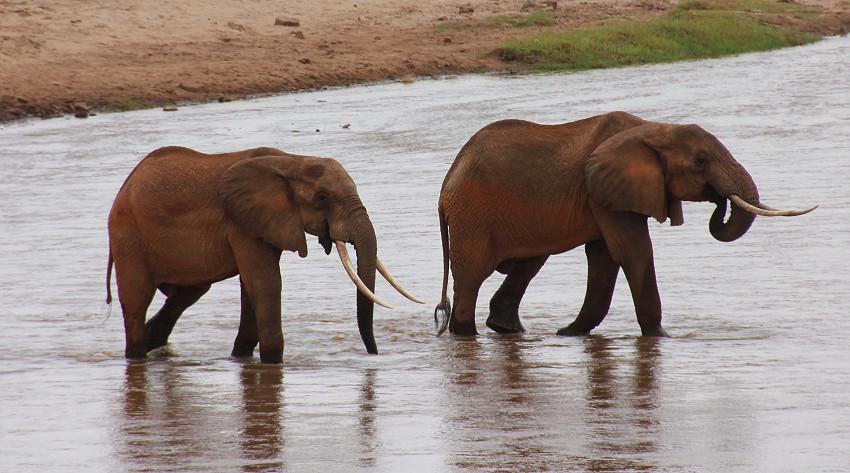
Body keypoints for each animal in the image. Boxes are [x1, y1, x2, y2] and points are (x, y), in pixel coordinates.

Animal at [106, 146, 420, 364]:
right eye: (322, 198)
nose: (373, 355)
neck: (291, 161)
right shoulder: (242, 222)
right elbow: (266, 283)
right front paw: (273, 362)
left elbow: (252, 288)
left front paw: (242, 359)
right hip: (128, 237)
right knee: (137, 299)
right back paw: (137, 354)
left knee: (189, 293)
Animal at [434, 112, 812, 338]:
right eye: (700, 162)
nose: (719, 201)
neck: (654, 127)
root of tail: (448, 180)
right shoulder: (605, 192)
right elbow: (633, 252)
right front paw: (662, 338)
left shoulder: (606, 195)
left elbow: (605, 258)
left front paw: (571, 334)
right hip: (473, 215)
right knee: (471, 278)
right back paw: (468, 334)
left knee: (529, 262)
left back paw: (509, 330)